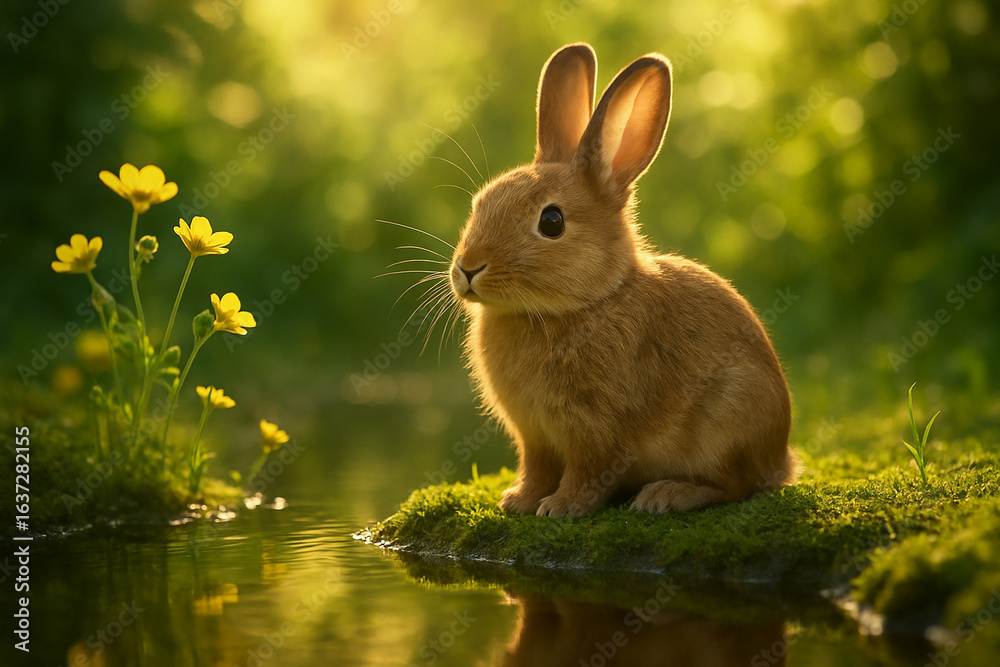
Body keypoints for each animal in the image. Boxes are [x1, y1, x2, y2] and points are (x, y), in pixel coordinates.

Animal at [448, 42, 797, 517]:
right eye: (480, 202)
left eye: (552, 222)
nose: (468, 267)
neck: (589, 301)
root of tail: (781, 460)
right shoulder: (534, 435)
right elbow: (536, 469)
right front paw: (518, 501)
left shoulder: (595, 429)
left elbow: (589, 471)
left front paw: (561, 508)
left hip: (730, 415)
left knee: (733, 485)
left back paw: (665, 495)